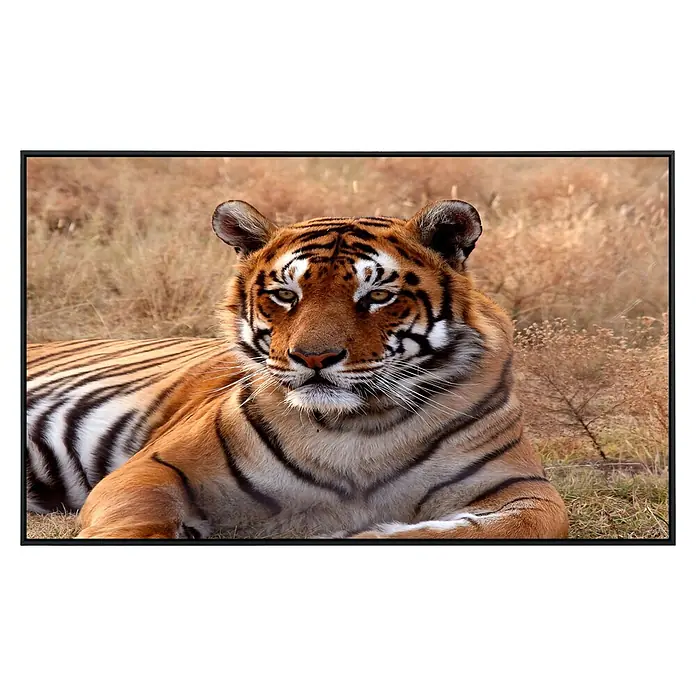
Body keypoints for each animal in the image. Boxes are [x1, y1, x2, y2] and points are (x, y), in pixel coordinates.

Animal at [26, 198, 569, 540]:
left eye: (377, 296)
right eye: (286, 294)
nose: (313, 358)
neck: (360, 429)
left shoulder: (525, 490)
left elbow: (506, 526)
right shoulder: (154, 467)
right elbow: (136, 518)